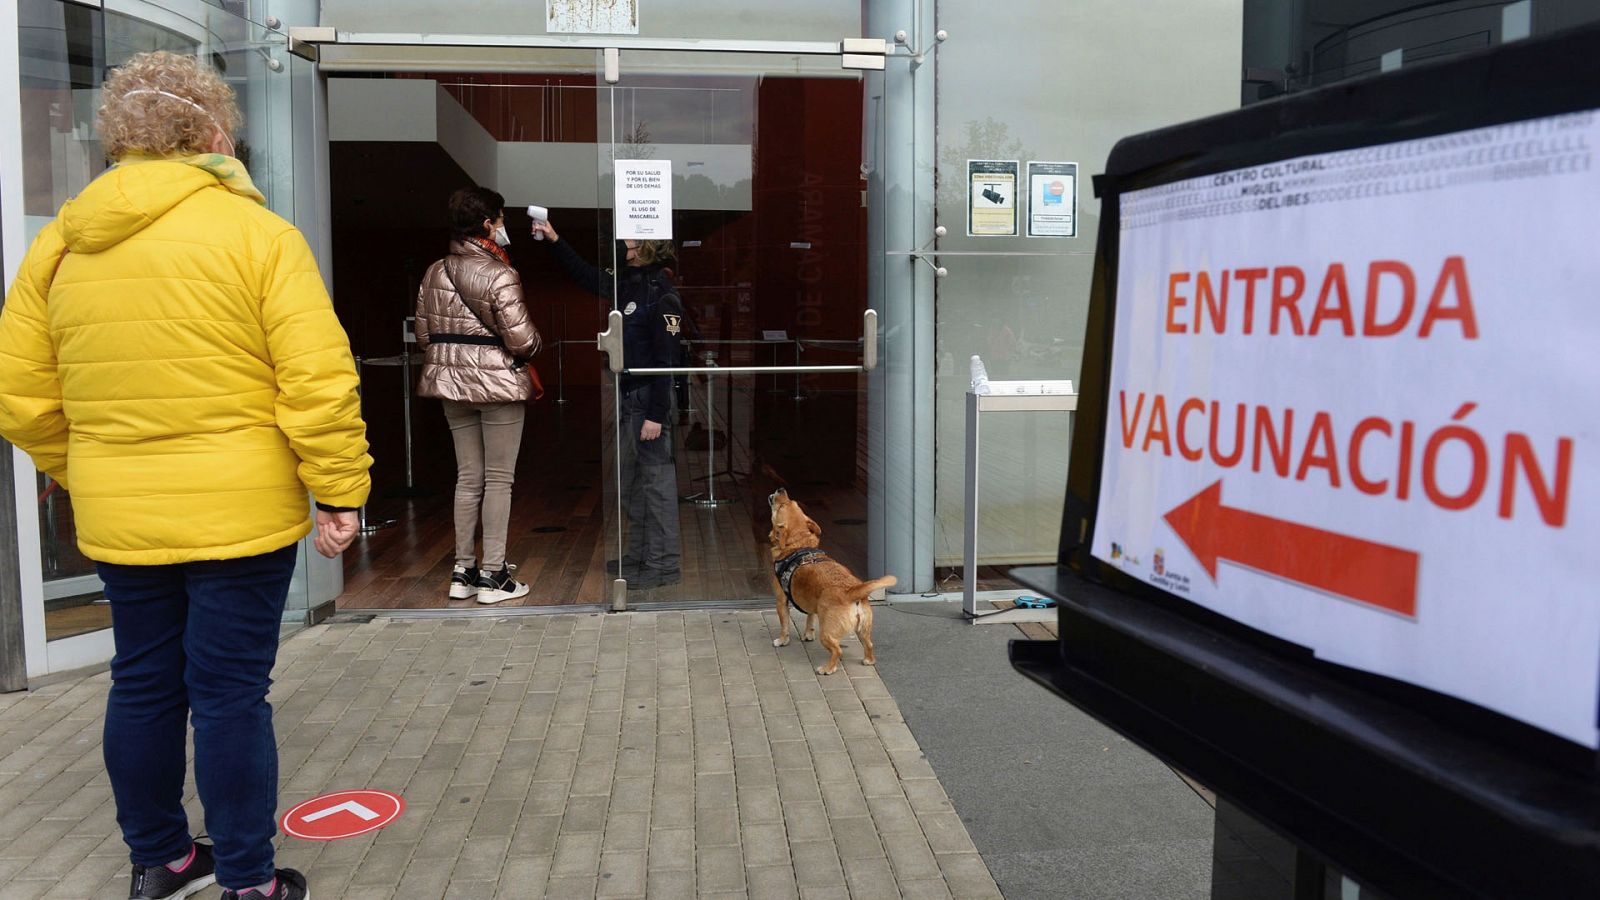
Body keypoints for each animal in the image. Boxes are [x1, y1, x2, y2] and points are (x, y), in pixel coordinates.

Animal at [768, 490, 896, 672]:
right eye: (793, 502)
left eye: (780, 507)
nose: (781, 489)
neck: (798, 544)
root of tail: (852, 591)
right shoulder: (810, 602)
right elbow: (809, 617)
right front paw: (808, 634)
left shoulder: (781, 601)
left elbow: (784, 624)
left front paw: (782, 641)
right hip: (864, 629)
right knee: (869, 644)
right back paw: (868, 660)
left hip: (827, 632)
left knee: (837, 650)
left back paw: (827, 669)